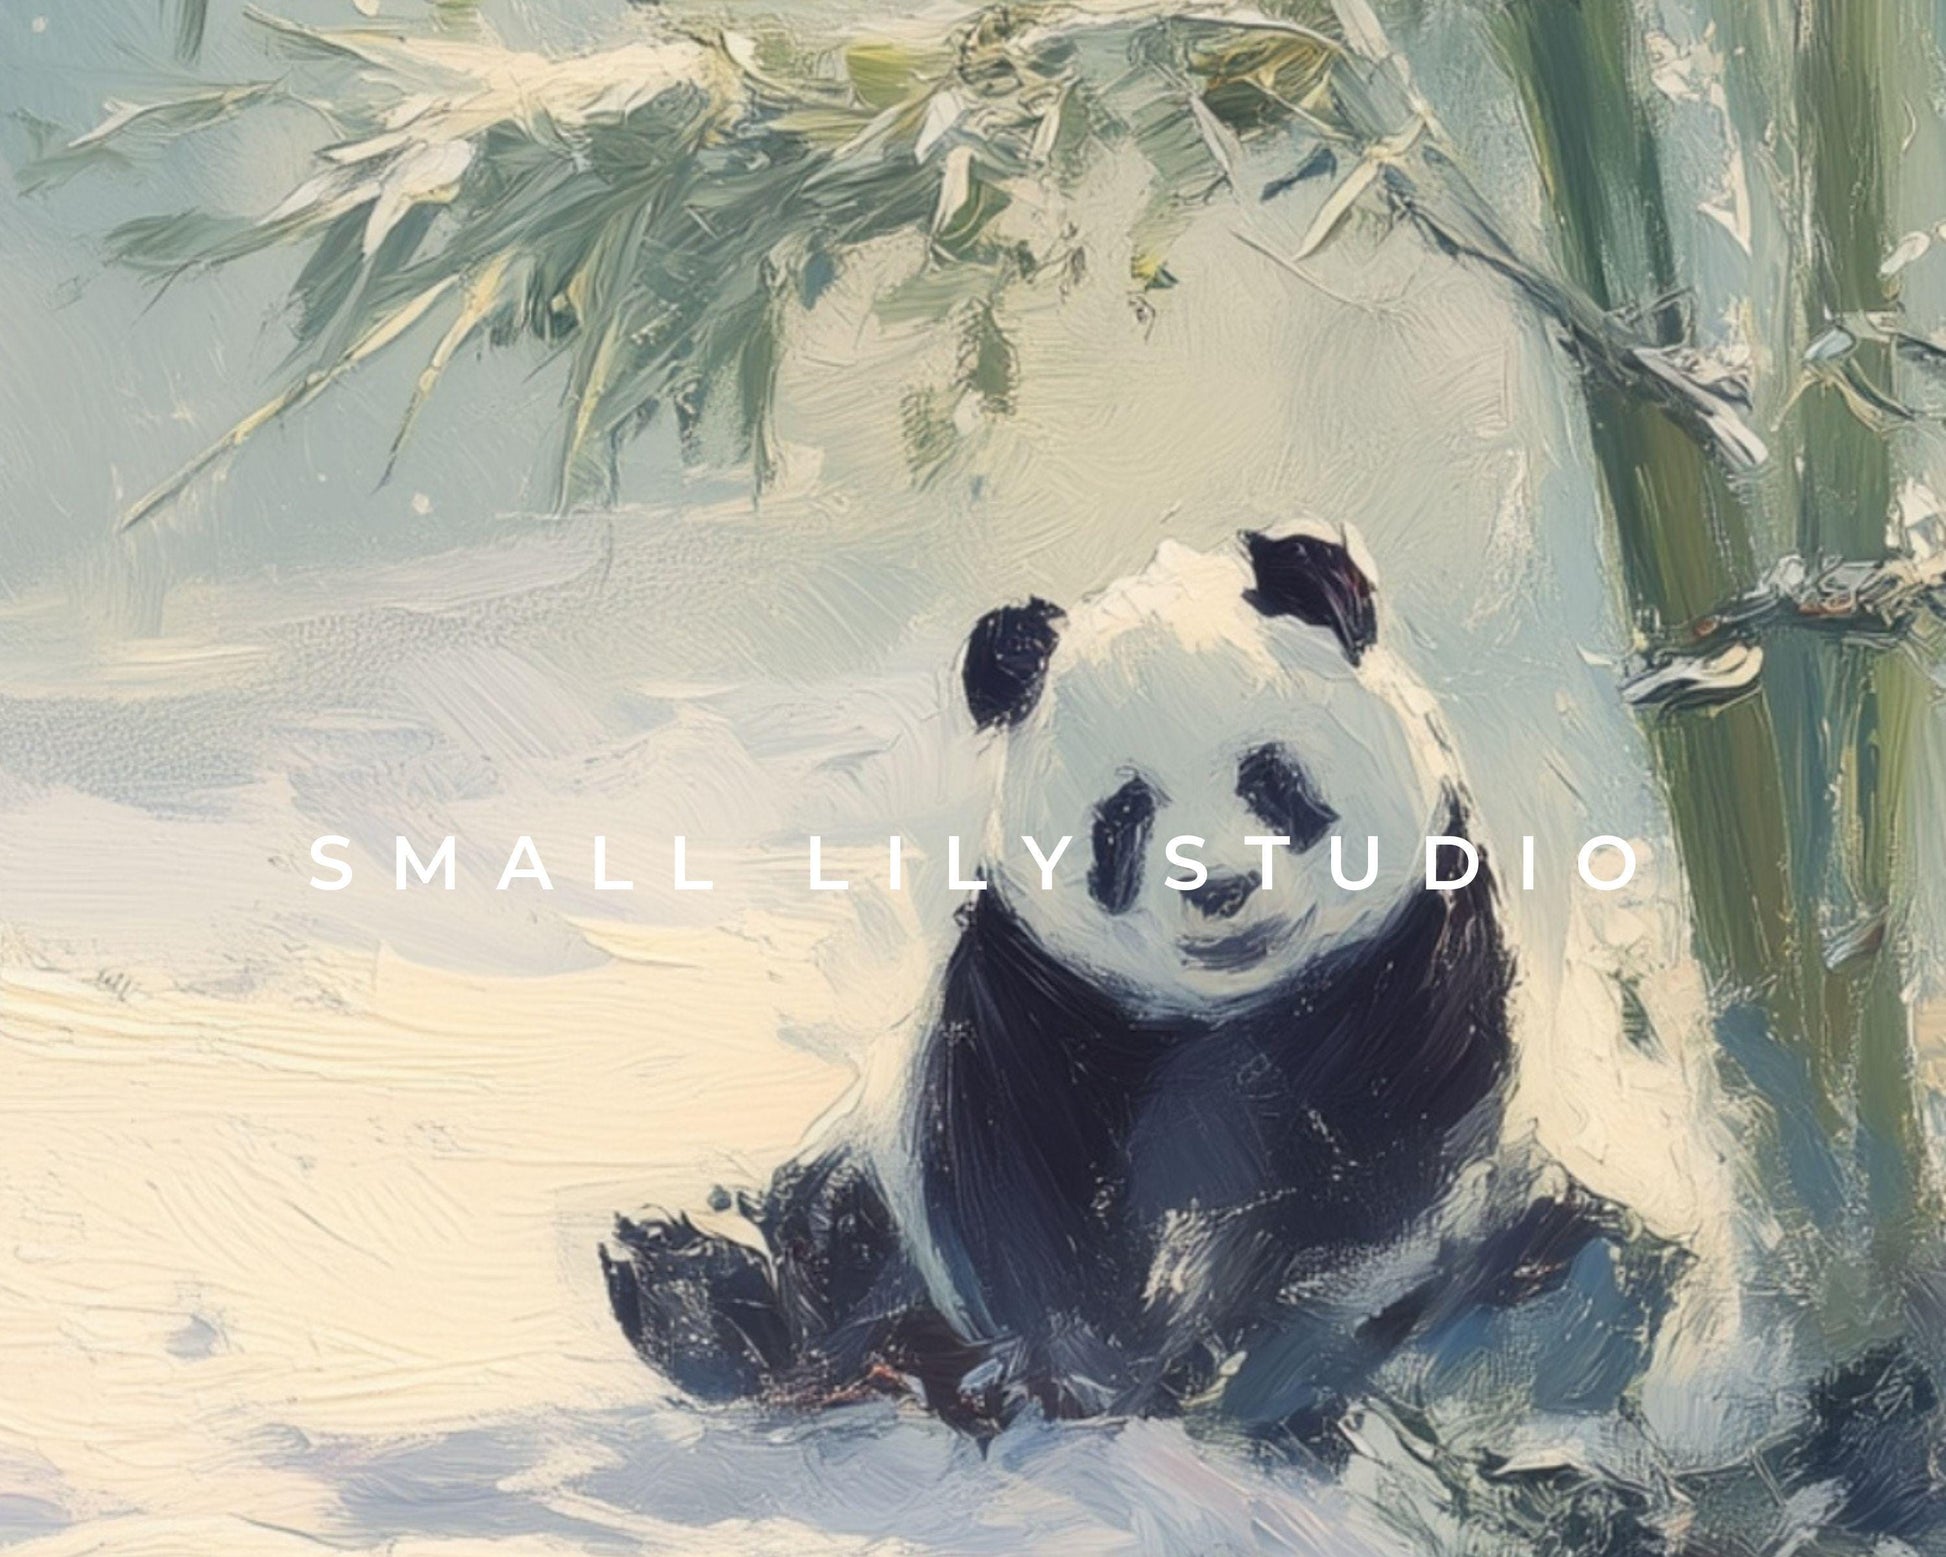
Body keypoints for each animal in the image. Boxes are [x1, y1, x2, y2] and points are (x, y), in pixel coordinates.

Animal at [603, 527, 1677, 1443]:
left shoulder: (1405, 971)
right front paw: (1076, 1376)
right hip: (870, 1200)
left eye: (1271, 778)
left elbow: (1372, 1196)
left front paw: (1225, 1363)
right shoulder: (1038, 994)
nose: (1220, 887)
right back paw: (690, 1288)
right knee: (822, 1253)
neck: (1224, 1012)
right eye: (1124, 814)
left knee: (1579, 1273)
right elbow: (1023, 1195)